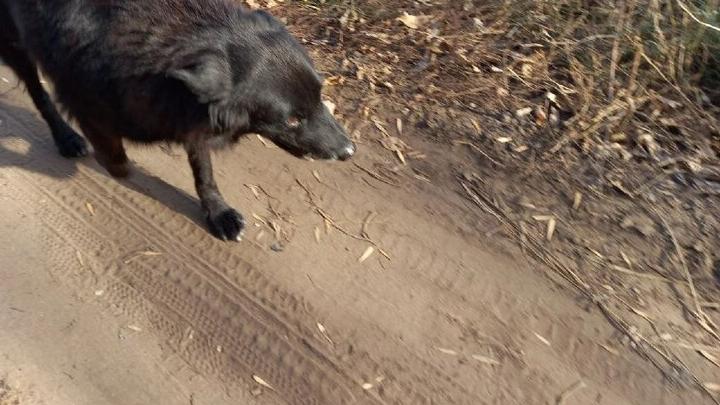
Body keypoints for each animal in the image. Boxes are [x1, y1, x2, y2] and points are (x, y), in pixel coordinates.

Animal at [0, 0, 354, 240]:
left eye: (321, 95)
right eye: (292, 120)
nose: (349, 152)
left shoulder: (194, 115)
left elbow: (203, 169)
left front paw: (218, 212)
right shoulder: (86, 101)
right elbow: (116, 155)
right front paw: (113, 161)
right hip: (15, 45)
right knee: (38, 93)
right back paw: (66, 137)